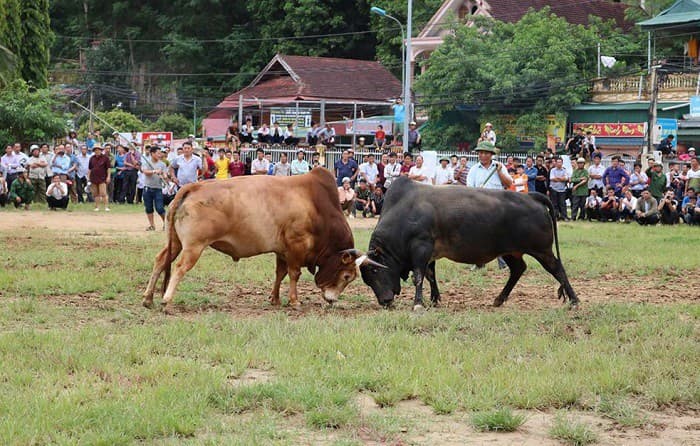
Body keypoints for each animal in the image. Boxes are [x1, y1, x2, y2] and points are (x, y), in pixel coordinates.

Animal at [144, 168, 382, 314]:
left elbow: (280, 273)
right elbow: (294, 274)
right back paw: (166, 300)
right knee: (179, 267)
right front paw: (294, 301)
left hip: (176, 243)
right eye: (347, 276)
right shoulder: (296, 245)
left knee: (160, 261)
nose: (332, 300)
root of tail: (192, 187)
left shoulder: (282, 251)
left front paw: (274, 299)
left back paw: (148, 298)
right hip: (193, 246)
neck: (315, 205)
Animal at [360, 176, 580, 308]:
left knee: (557, 268)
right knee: (518, 269)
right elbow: (431, 275)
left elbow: (419, 276)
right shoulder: (430, 253)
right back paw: (499, 299)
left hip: (542, 250)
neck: (403, 210)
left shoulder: (421, 248)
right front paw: (434, 300)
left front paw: (418, 303)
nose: (385, 301)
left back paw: (574, 300)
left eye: (375, 270)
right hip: (511, 251)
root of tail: (532, 197)